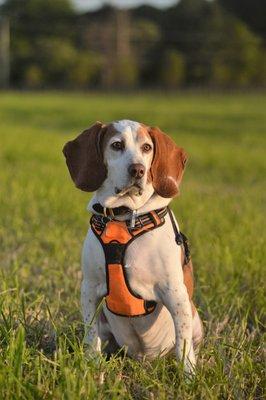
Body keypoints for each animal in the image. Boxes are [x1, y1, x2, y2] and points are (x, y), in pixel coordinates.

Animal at [62, 119, 204, 376]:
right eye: (117, 145)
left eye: (147, 148)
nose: (138, 170)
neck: (125, 217)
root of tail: (144, 358)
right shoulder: (89, 287)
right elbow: (91, 335)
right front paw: (92, 365)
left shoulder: (175, 293)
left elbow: (183, 344)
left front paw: (189, 377)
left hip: (194, 315)